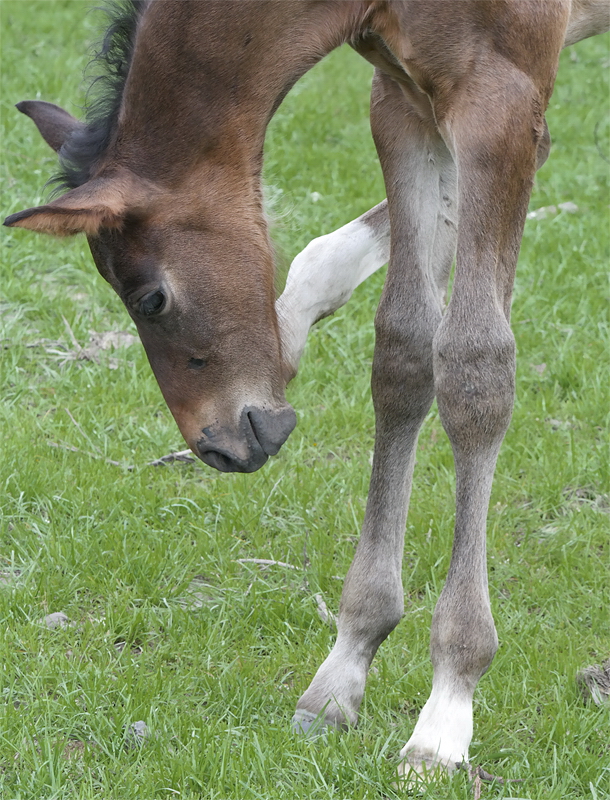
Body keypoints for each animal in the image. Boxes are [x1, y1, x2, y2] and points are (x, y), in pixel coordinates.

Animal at [5, 0, 608, 780]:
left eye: (151, 298)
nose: (222, 445)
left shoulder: (502, 96)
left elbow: (476, 364)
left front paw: (447, 709)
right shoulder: (404, 99)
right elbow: (404, 346)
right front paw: (346, 666)